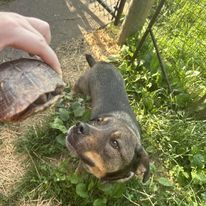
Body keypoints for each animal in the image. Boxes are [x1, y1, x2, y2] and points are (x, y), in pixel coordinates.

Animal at [66, 54, 150, 182]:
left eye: (115, 143)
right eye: (98, 121)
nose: (79, 126)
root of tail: (98, 63)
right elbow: (79, 171)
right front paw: (75, 177)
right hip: (82, 85)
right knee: (75, 88)